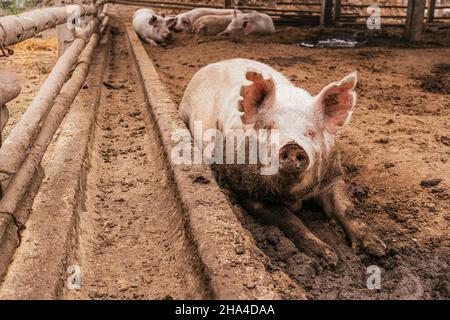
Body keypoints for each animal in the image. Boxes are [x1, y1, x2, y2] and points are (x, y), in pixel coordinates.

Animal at [179, 57, 386, 264]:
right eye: (268, 128)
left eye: (311, 132)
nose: (293, 147)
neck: (292, 195)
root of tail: (219, 62)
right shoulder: (248, 192)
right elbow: (289, 220)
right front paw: (329, 257)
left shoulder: (333, 175)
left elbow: (346, 208)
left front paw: (379, 249)